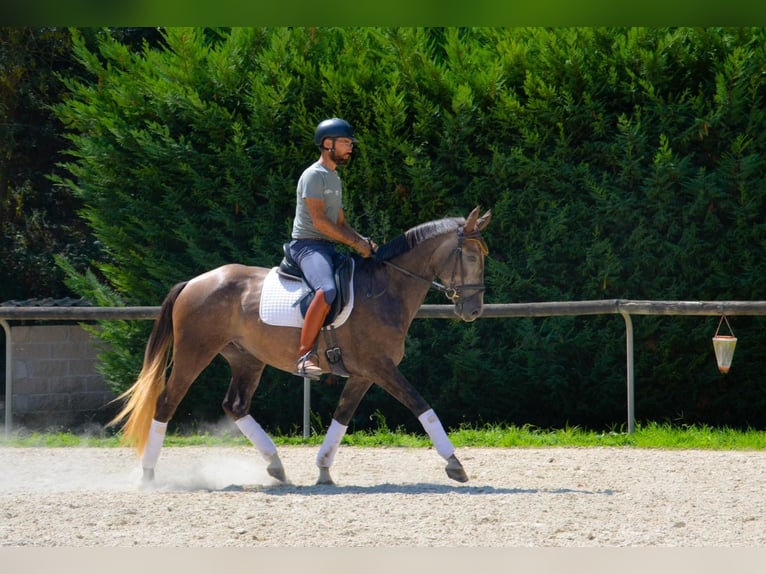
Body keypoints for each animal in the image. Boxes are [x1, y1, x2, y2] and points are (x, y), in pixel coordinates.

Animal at [111, 207, 491, 486]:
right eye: (472, 257)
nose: (473, 310)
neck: (384, 289)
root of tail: (194, 281)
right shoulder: (381, 367)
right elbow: (422, 406)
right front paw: (454, 463)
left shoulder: (363, 374)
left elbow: (341, 418)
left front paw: (323, 469)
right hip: (194, 353)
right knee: (166, 403)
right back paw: (148, 475)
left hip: (247, 359)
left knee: (235, 405)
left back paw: (276, 466)